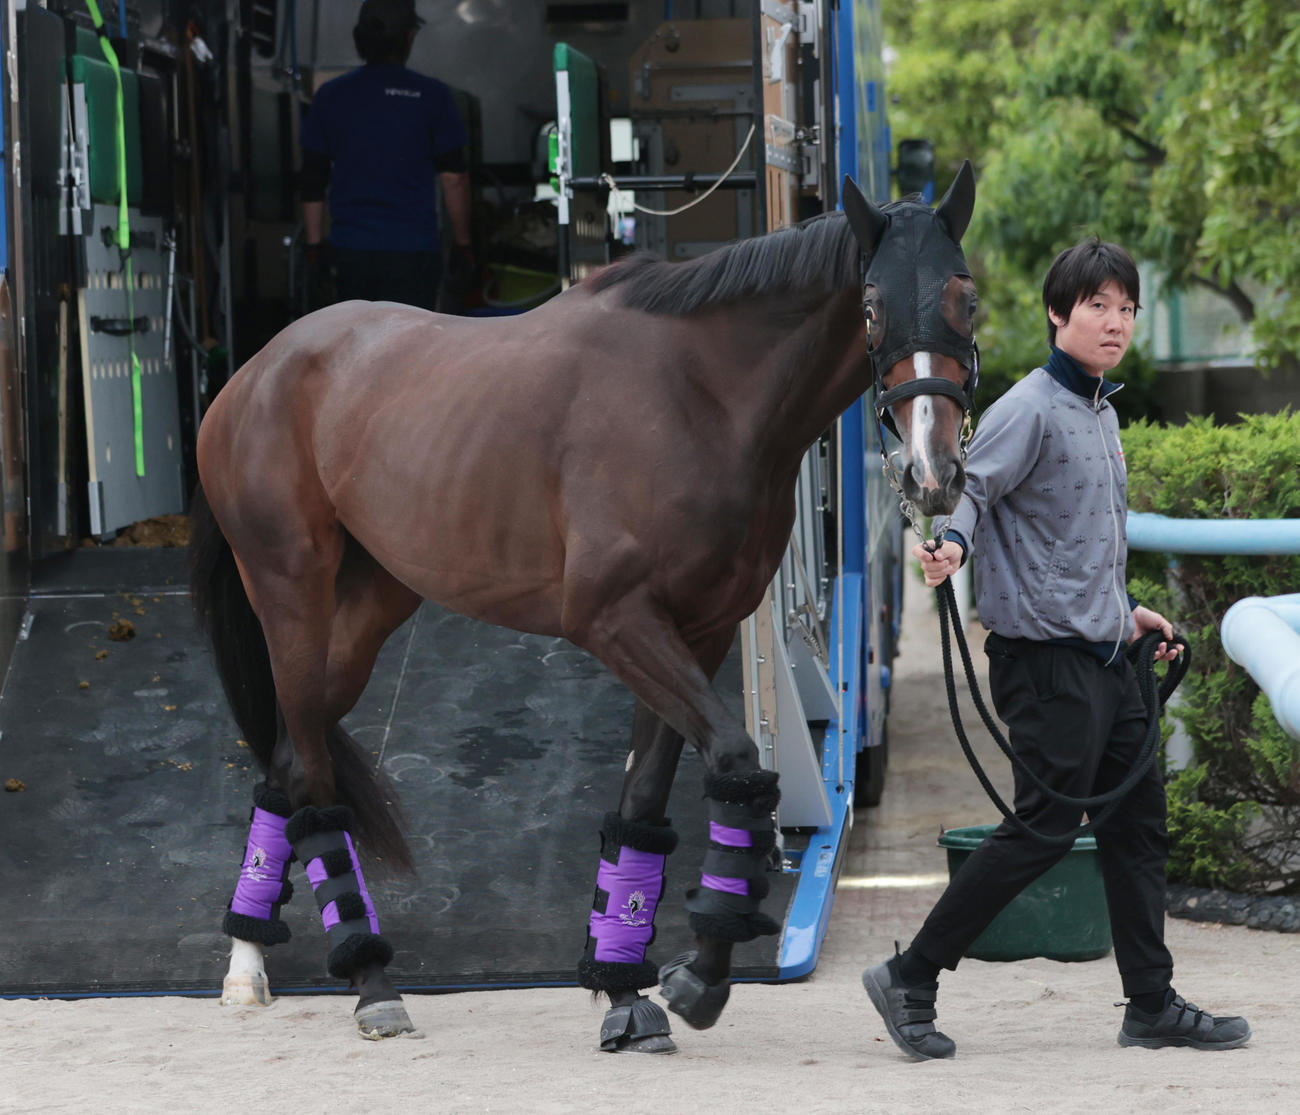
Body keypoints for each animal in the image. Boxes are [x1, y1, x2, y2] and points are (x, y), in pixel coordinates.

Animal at [188, 163, 979, 1050]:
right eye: (871, 305)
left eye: (966, 297)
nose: (932, 473)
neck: (700, 393)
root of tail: (254, 374)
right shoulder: (616, 621)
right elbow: (738, 762)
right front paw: (698, 977)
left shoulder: (698, 630)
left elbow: (642, 805)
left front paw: (627, 989)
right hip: (291, 597)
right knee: (310, 778)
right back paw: (366, 980)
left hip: (370, 607)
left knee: (289, 760)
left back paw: (251, 961)